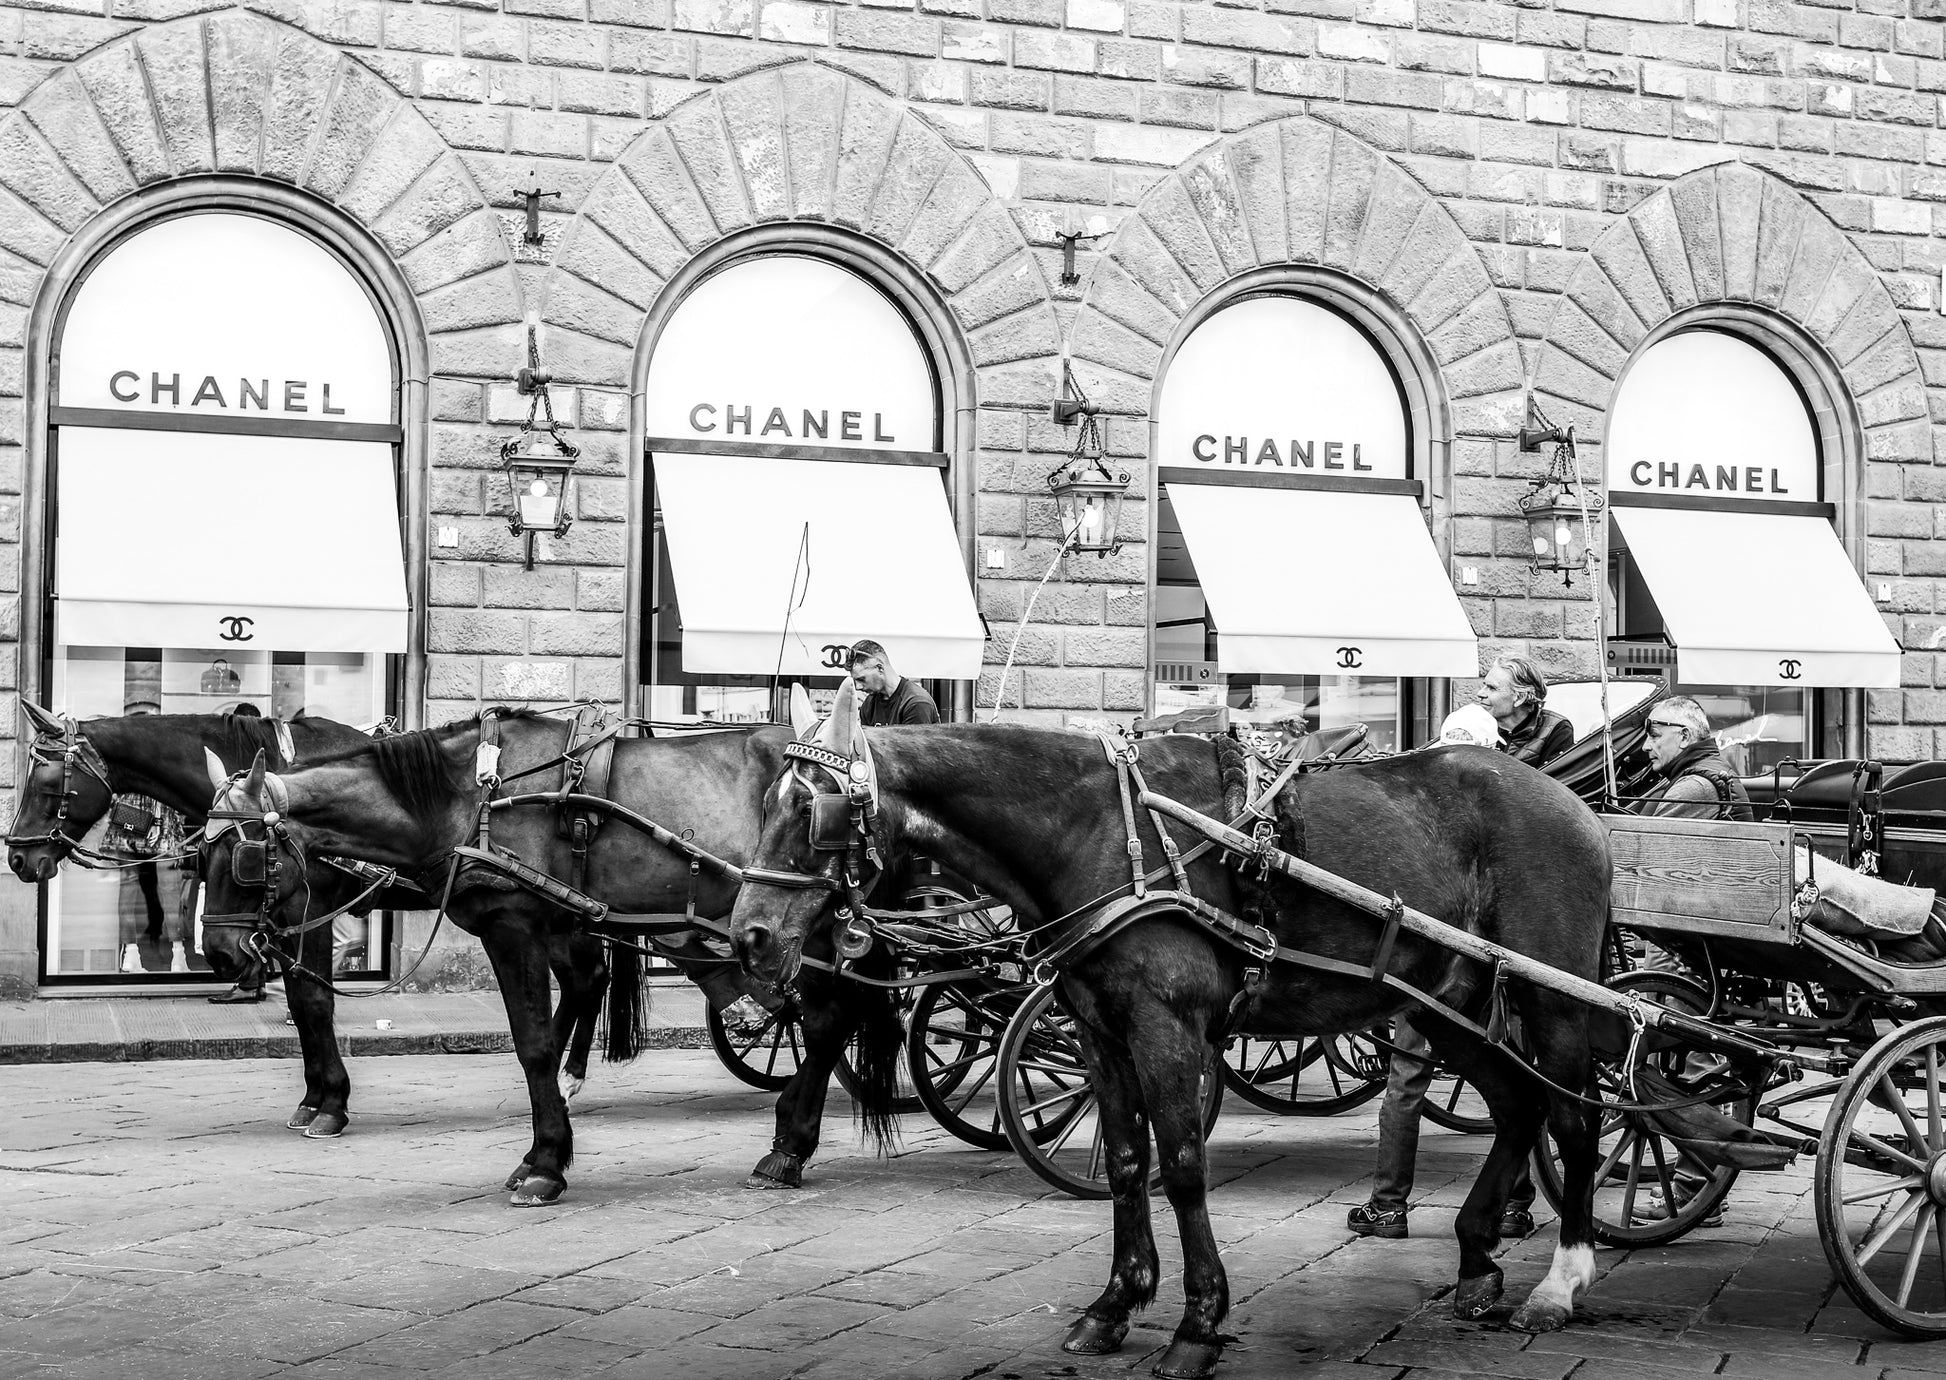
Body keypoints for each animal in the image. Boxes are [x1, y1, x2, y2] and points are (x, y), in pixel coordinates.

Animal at [201, 716, 899, 1198]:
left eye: (241, 858)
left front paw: (544, 1163)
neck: (467, 799)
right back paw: (787, 1140)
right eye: (195, 851)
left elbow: (532, 1042)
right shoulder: (555, 923)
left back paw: (791, 1144)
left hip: (802, 921)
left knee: (828, 1015)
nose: (219, 953)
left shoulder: (510, 925)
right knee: (825, 1014)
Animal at [731, 685, 1611, 1370]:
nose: (749, 936)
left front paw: (1198, 1323)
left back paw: (1563, 1279)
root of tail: (1577, 807)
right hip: (1447, 1000)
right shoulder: (1098, 1030)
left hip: (1556, 998)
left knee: (1574, 1118)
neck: (1092, 827)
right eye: (767, 805)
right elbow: (1126, 1161)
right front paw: (1116, 1304)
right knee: (1518, 1106)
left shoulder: (1168, 1027)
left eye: (812, 812)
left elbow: (1183, 1164)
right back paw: (1476, 1258)